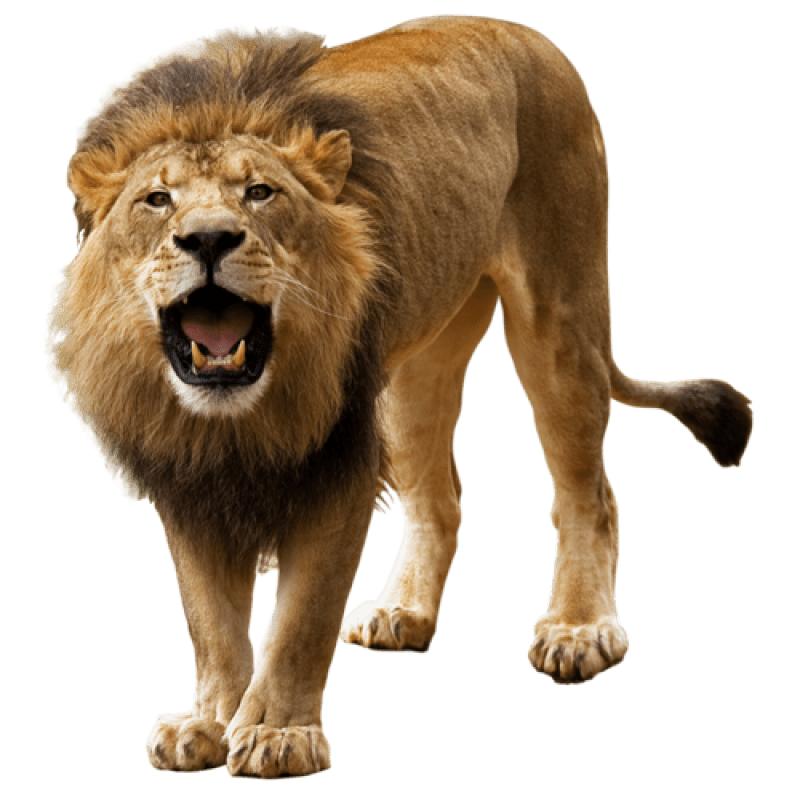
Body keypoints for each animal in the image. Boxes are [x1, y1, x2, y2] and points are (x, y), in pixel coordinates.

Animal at [44, 15, 754, 779]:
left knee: (589, 494)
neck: (234, 418)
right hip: (414, 370)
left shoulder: (335, 465)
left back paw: (579, 628)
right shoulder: (186, 477)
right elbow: (209, 618)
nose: (208, 237)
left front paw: (278, 733)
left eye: (261, 193)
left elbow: (300, 619)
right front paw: (207, 721)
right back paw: (402, 611)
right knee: (441, 499)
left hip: (560, 316)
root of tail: (523, 29)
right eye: (157, 199)